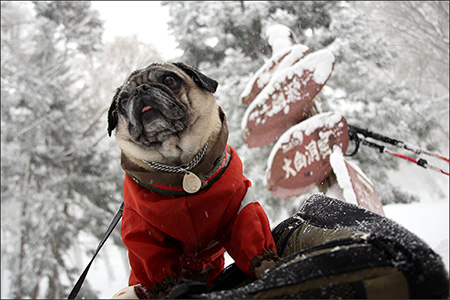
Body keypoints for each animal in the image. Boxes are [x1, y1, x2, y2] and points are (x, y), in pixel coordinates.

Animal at [108, 62, 278, 298]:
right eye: (123, 102)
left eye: (170, 80)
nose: (141, 89)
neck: (183, 168)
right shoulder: (145, 238)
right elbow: (160, 272)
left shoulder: (240, 208)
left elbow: (254, 243)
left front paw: (269, 269)